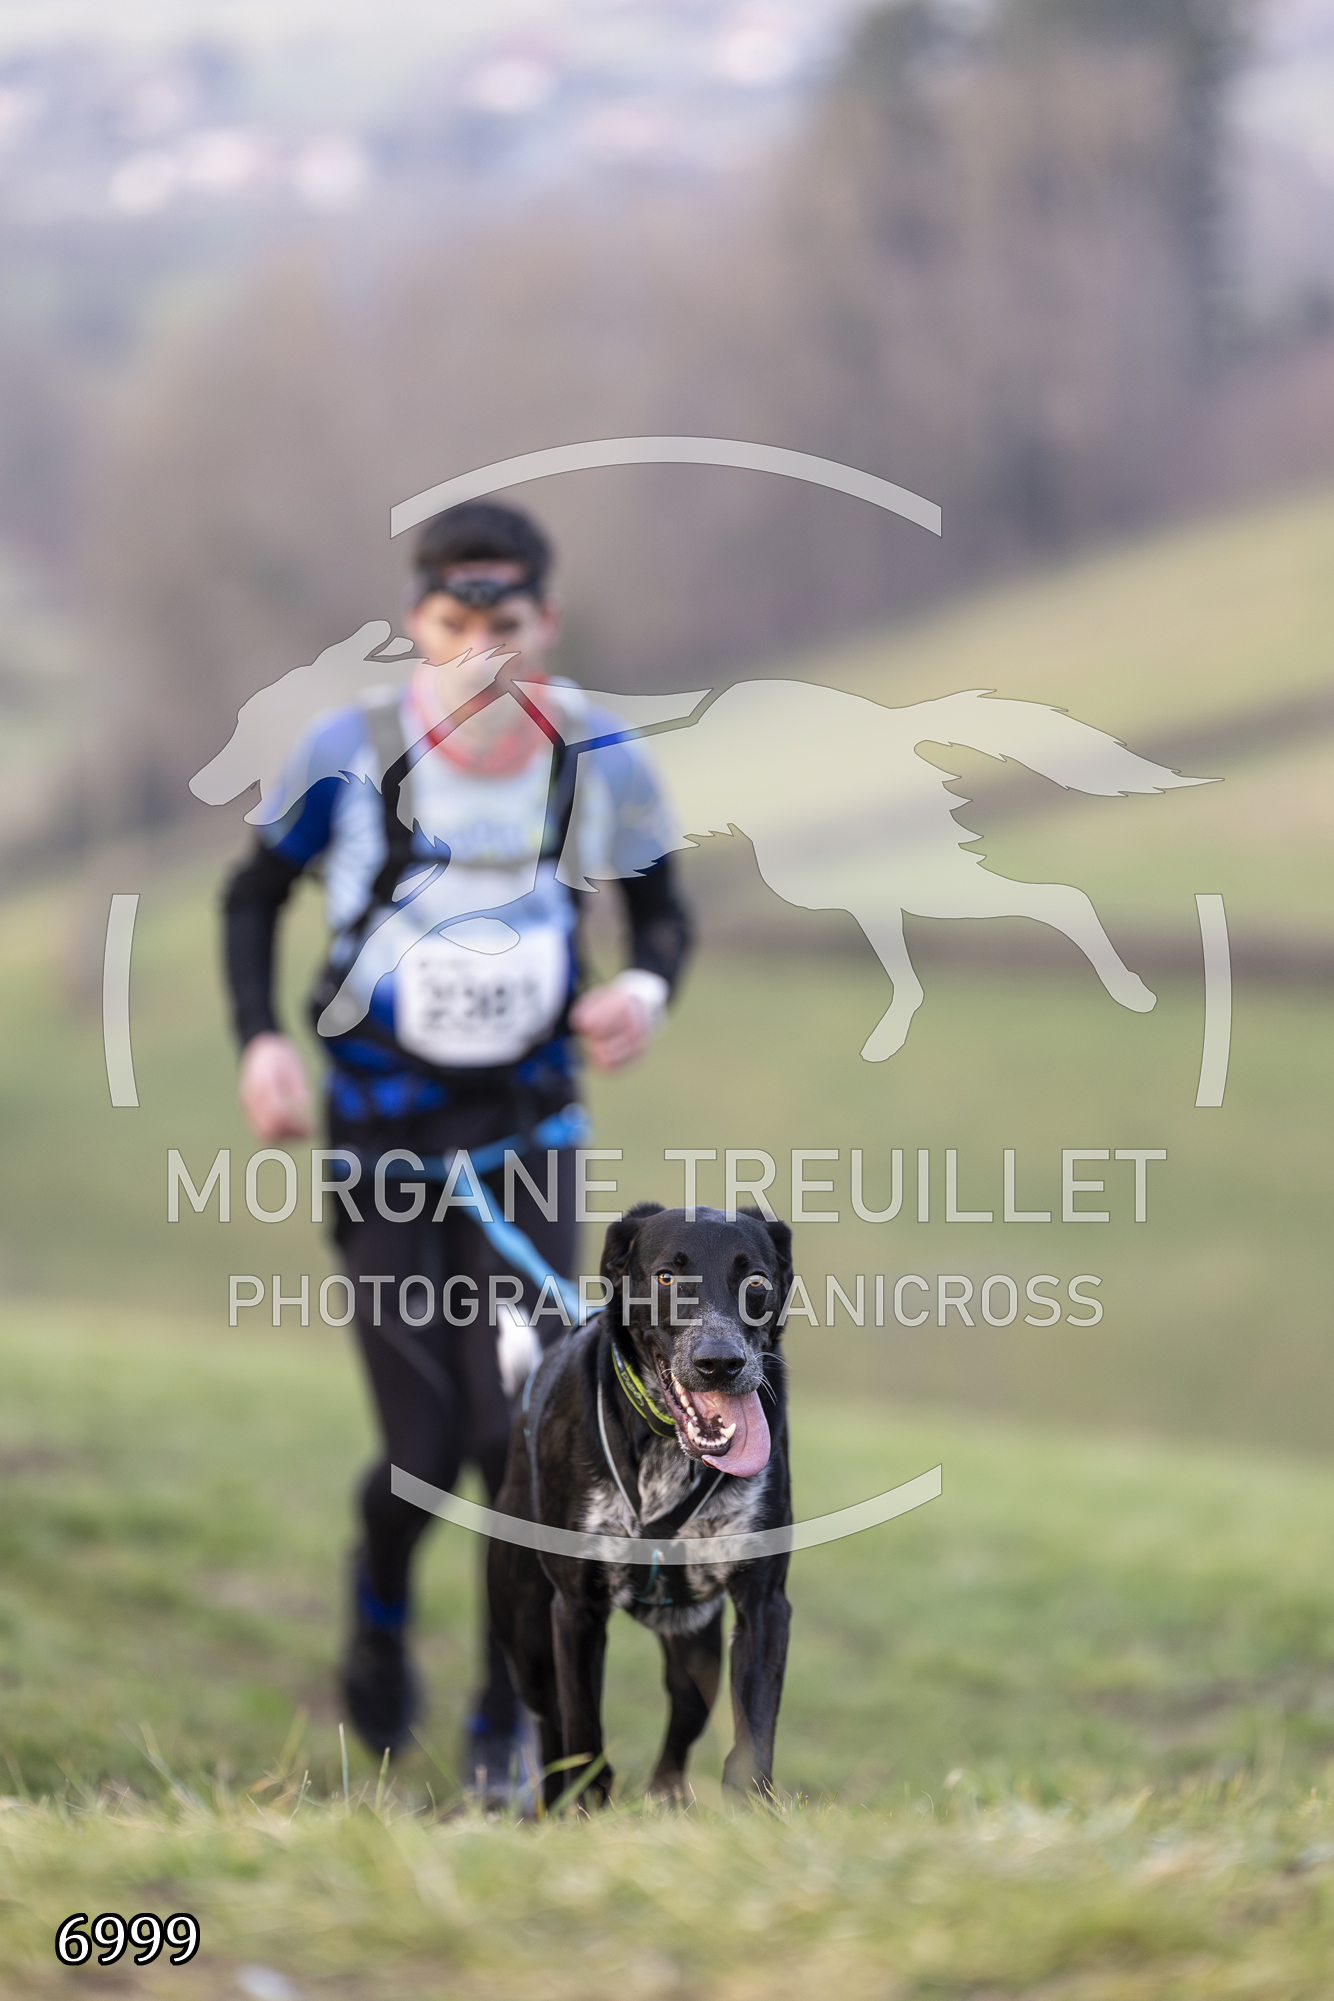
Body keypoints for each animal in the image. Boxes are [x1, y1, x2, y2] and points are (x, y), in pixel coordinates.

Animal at [487, 1201, 794, 1808]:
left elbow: (754, 1733)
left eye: (756, 1282)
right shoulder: (576, 1610)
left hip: (696, 1651)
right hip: (529, 1639)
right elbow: (583, 1736)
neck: (667, 1450)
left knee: (679, 1730)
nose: (720, 1362)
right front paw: (585, 1810)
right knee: (551, 1730)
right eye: (667, 1277)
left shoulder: (765, 1605)